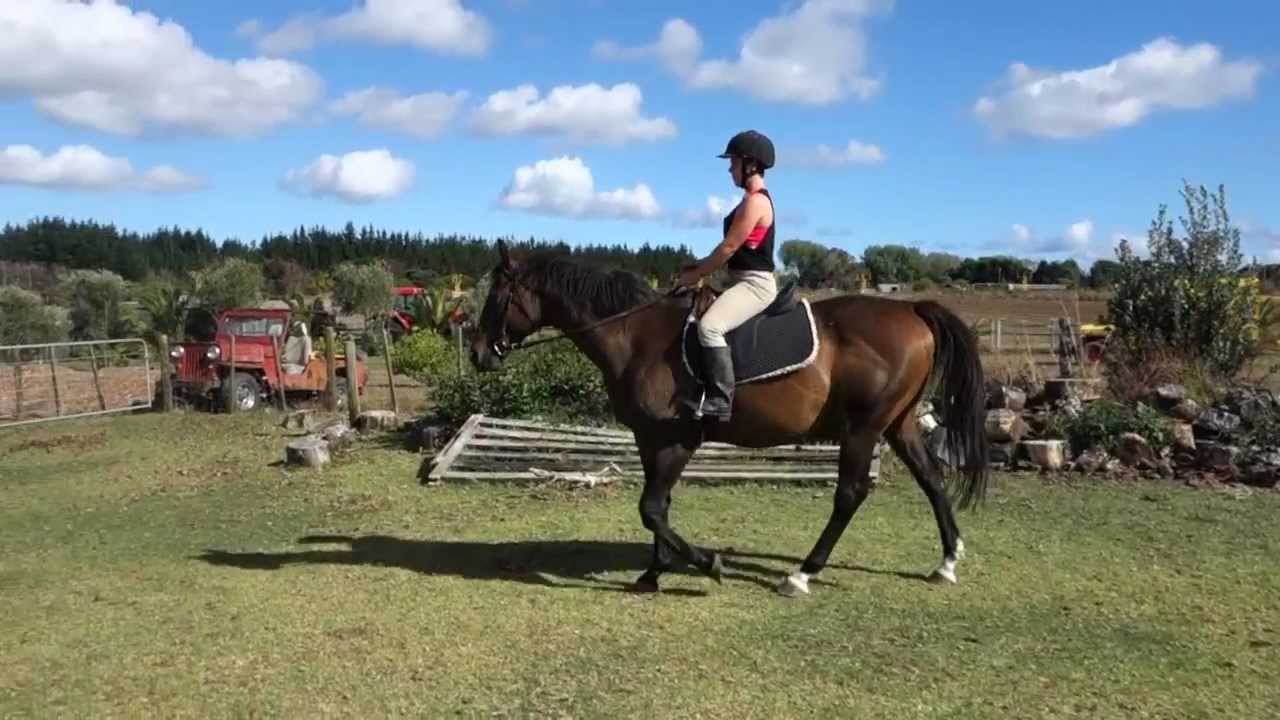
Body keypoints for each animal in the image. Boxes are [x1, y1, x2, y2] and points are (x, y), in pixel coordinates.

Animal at [468, 239, 989, 595]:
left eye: (496, 297)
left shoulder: (678, 438)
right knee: (932, 480)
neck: (634, 334)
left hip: (863, 430)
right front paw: (653, 573)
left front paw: (706, 564)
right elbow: (659, 506)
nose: (478, 354)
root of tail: (913, 312)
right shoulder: (649, 438)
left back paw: (801, 575)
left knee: (850, 495)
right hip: (898, 425)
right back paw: (947, 562)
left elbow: (651, 508)